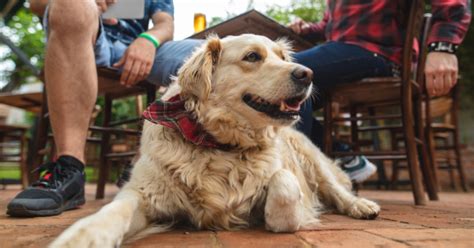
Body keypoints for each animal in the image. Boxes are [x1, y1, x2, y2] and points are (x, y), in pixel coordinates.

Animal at [50, 34, 380, 247]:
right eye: (252, 56)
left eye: (282, 57)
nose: (308, 74)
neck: (220, 144)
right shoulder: (144, 192)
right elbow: (112, 211)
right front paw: (83, 237)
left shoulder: (284, 177)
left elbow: (284, 185)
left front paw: (280, 215)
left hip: (311, 158)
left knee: (337, 190)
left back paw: (361, 205)